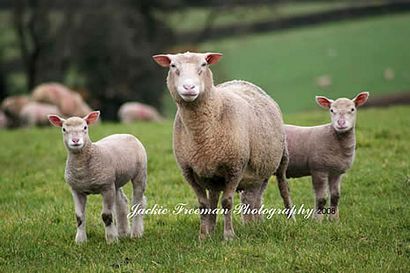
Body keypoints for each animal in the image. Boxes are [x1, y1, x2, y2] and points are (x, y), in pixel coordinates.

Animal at [48, 110, 147, 242]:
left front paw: (111, 239)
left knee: (138, 202)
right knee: (122, 202)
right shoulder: (76, 190)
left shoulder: (106, 187)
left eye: (85, 127)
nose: (75, 141)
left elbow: (107, 216)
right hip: (115, 180)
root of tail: (125, 134)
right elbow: (79, 217)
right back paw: (123, 232)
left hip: (140, 173)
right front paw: (80, 241)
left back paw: (136, 233)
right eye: (64, 129)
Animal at [153, 52, 292, 239]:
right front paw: (203, 236)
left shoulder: (235, 167)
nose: (189, 87)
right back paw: (248, 225)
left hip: (282, 157)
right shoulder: (188, 171)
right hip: (233, 172)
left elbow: (227, 202)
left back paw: (290, 220)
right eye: (173, 66)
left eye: (204, 64)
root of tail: (241, 81)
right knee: (248, 196)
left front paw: (229, 236)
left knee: (283, 188)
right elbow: (203, 204)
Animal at [286, 91, 368, 221]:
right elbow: (321, 198)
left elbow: (335, 196)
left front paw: (334, 220)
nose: (341, 123)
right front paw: (317, 220)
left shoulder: (336, 172)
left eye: (352, 109)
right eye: (331, 110)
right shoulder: (318, 170)